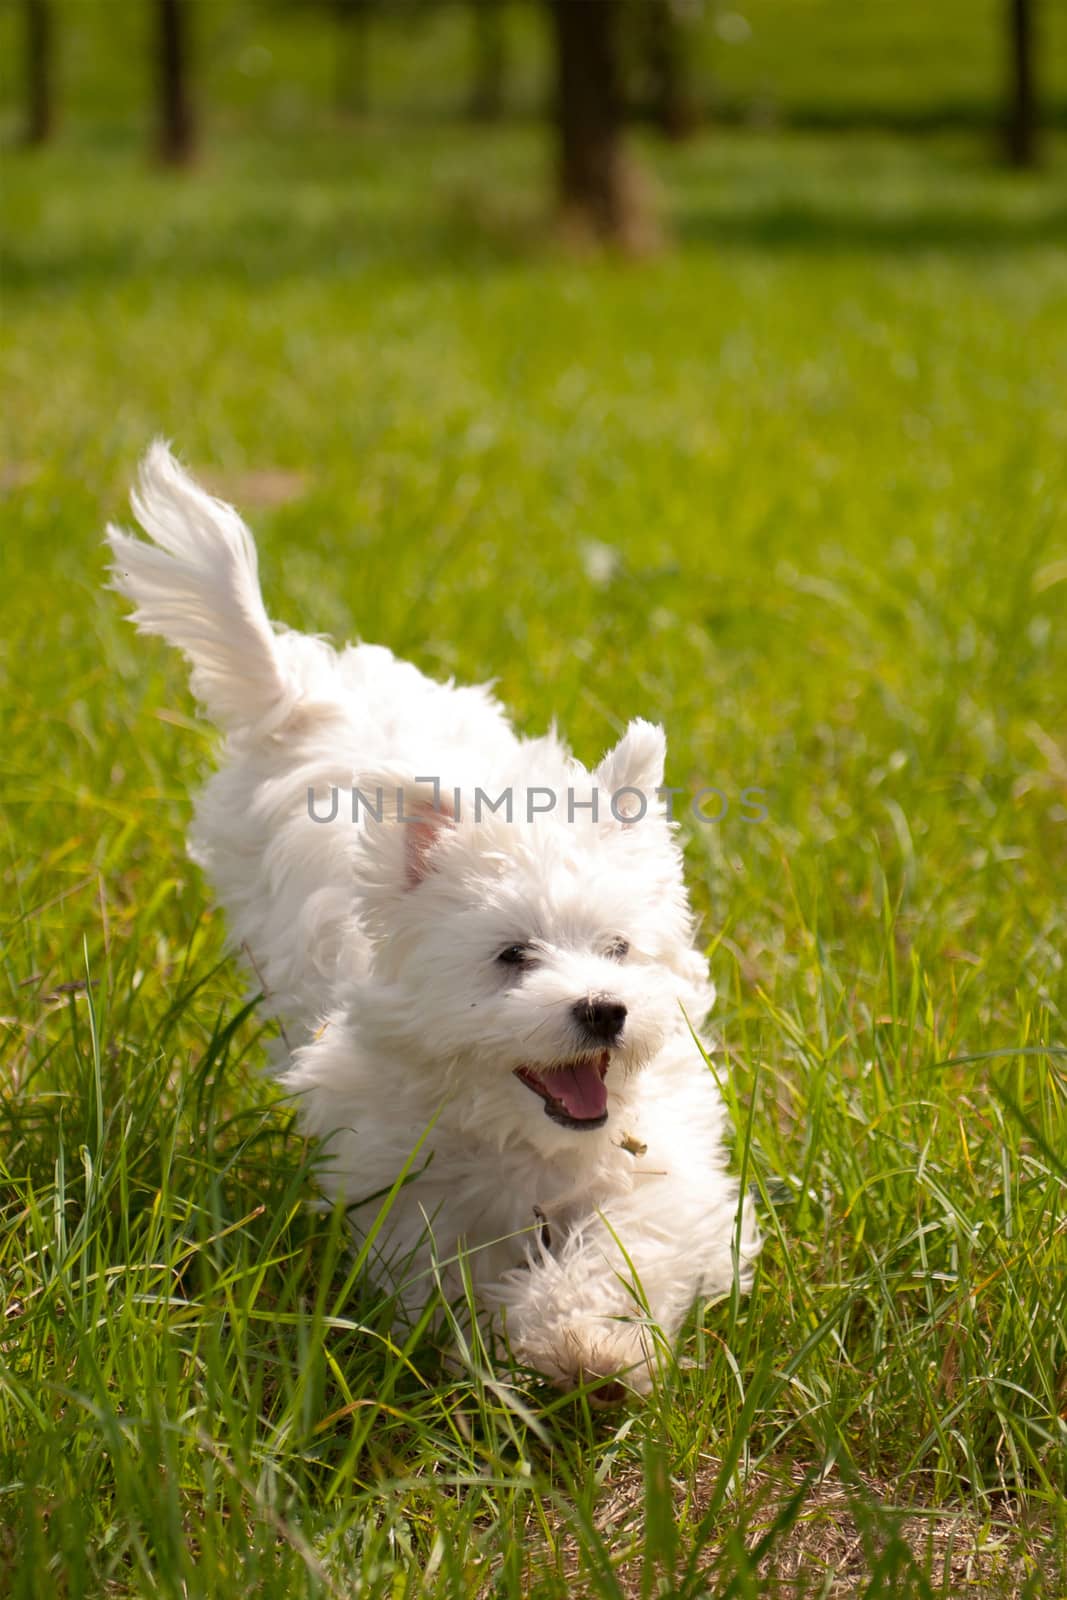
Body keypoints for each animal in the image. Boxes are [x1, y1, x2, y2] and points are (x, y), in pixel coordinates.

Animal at [106, 444, 758, 1395]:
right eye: (511, 955)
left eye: (618, 949)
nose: (605, 1010)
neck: (520, 1135)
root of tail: (308, 696)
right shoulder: (409, 1186)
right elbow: (446, 1272)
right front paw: (486, 1353)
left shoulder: (660, 1169)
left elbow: (626, 1248)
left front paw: (587, 1345)